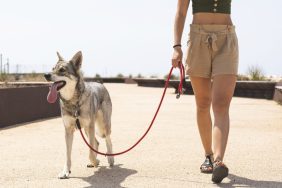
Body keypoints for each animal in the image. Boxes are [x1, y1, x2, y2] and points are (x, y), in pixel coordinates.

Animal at [44, 51, 114, 179]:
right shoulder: (68, 130)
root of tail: (100, 84)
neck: (73, 101)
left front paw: (95, 162)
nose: (46, 75)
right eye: (52, 68)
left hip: (102, 126)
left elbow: (91, 153)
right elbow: (68, 155)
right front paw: (65, 172)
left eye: (62, 70)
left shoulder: (90, 127)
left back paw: (110, 159)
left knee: (108, 140)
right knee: (96, 142)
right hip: (87, 130)